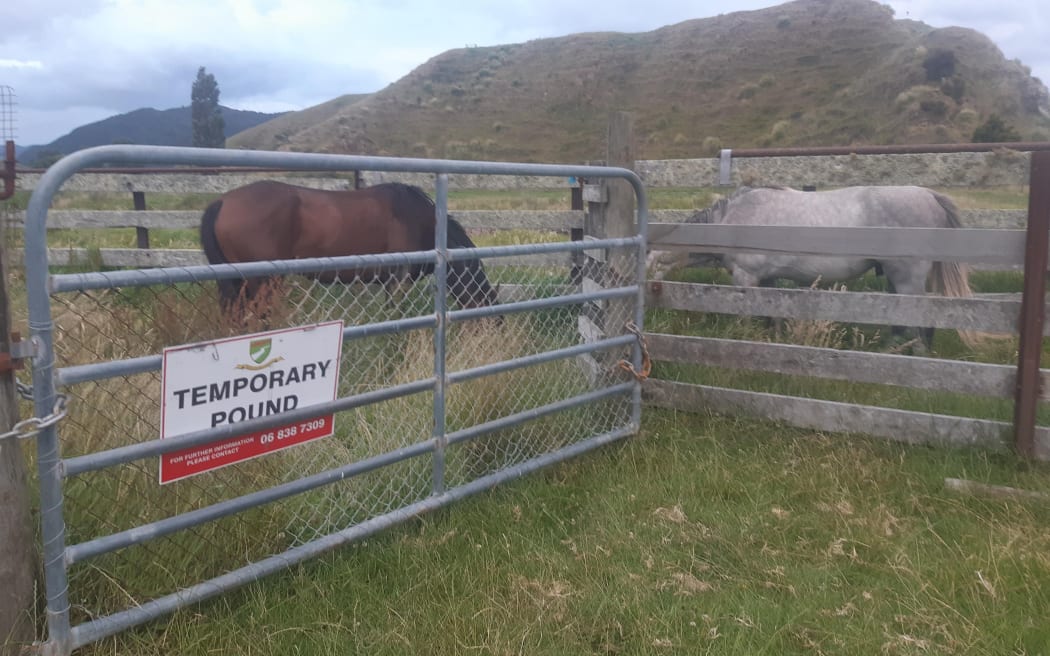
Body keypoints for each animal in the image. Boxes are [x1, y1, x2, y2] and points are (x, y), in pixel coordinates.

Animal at [646, 184, 974, 348]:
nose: (648, 318)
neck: (730, 219)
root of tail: (929, 194)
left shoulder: (745, 278)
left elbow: (746, 317)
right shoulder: (766, 280)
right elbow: (773, 316)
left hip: (906, 279)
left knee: (917, 322)